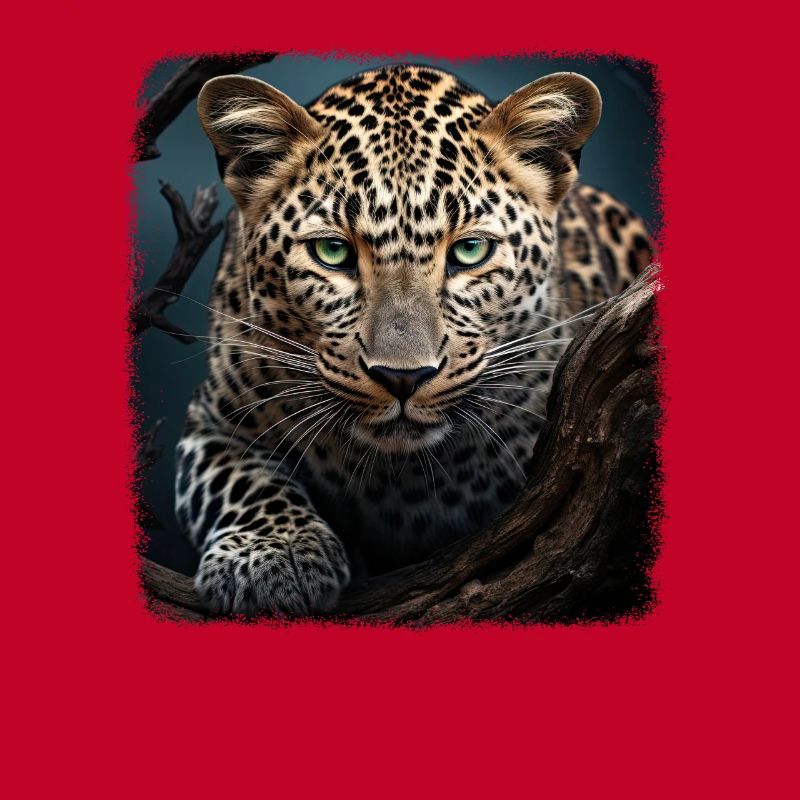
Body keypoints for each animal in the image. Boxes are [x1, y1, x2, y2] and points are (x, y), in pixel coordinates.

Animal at [174, 64, 653, 615]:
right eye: (332, 251)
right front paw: (272, 554)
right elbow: (242, 481)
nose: (402, 378)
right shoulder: (212, 422)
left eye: (470, 250)